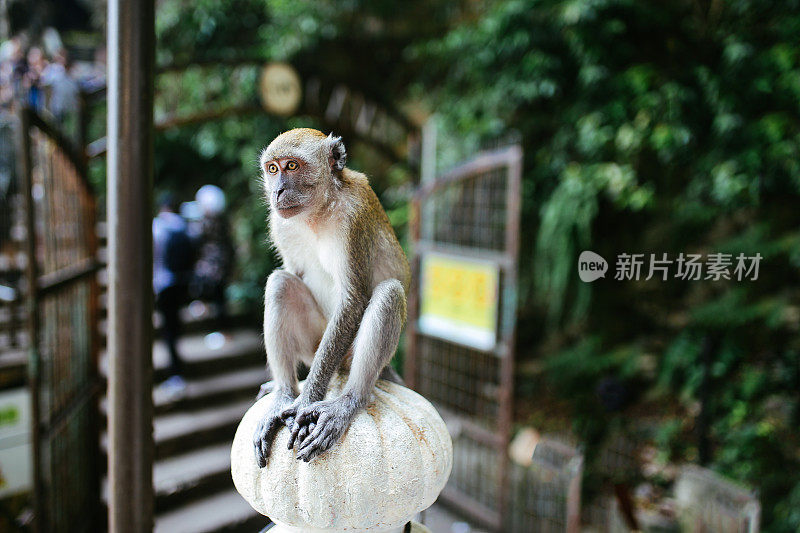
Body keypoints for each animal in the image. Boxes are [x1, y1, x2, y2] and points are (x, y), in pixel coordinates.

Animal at [253, 127, 410, 464]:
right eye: (272, 169)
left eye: (292, 166)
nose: (277, 192)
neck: (318, 211)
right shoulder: (280, 223)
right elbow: (291, 273)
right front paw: (290, 397)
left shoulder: (354, 218)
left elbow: (353, 299)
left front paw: (306, 401)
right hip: (312, 344)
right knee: (280, 284)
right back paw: (283, 394)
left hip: (346, 355)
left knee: (389, 293)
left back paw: (347, 402)